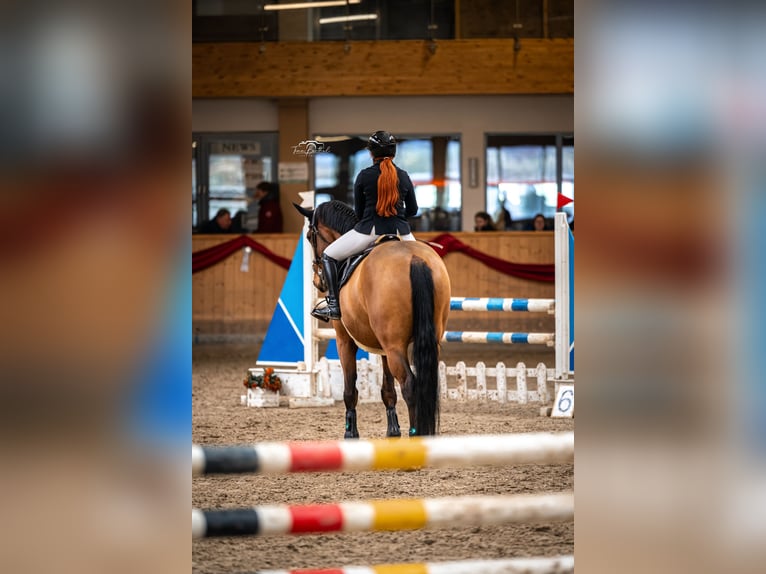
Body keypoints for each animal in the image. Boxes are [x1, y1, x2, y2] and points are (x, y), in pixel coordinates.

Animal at [292, 200, 450, 438]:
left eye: (310, 236)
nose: (317, 281)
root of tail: (414, 259)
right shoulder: (382, 347)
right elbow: (387, 389)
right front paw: (393, 430)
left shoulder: (344, 340)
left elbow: (350, 388)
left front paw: (350, 432)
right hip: (427, 340)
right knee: (426, 383)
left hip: (394, 347)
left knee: (410, 385)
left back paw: (416, 434)